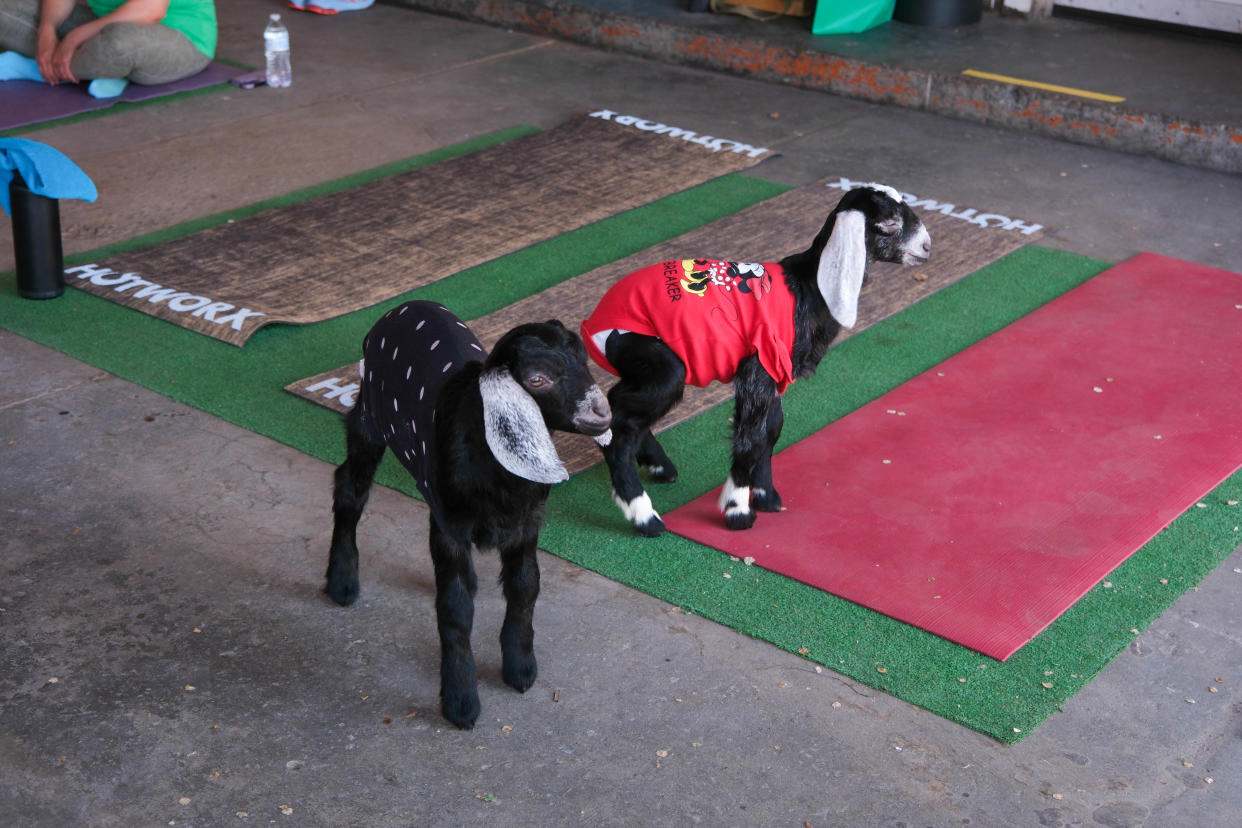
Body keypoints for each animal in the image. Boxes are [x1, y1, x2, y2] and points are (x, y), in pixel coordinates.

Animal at [322, 301, 608, 729]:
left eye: (584, 361)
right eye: (536, 379)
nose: (602, 411)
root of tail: (405, 306)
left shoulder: (527, 521)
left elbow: (525, 586)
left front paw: (520, 666)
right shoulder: (451, 528)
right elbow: (455, 610)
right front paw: (460, 700)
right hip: (368, 418)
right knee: (349, 489)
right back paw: (341, 580)